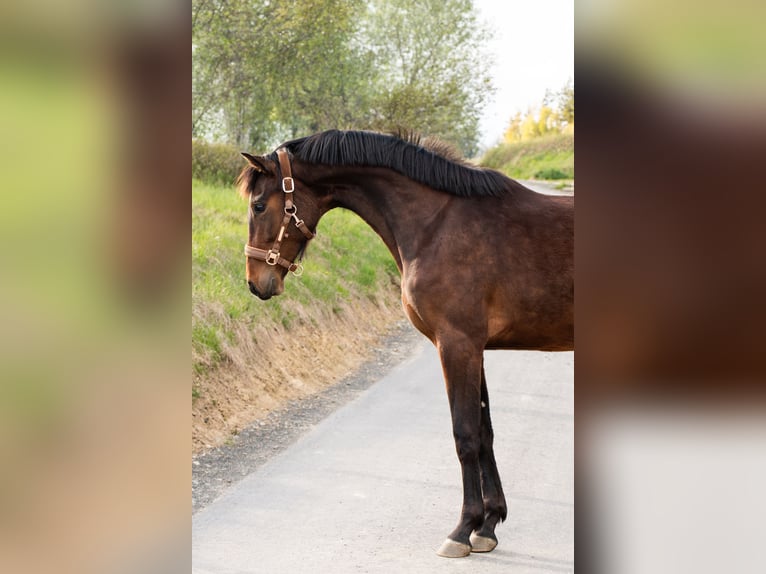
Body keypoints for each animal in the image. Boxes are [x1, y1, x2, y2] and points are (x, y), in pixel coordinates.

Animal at [237, 129, 573, 558]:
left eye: (259, 205)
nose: (255, 282)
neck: (437, 224)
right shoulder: (474, 348)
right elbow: (485, 433)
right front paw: (488, 524)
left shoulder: (457, 344)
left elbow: (465, 435)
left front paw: (462, 529)